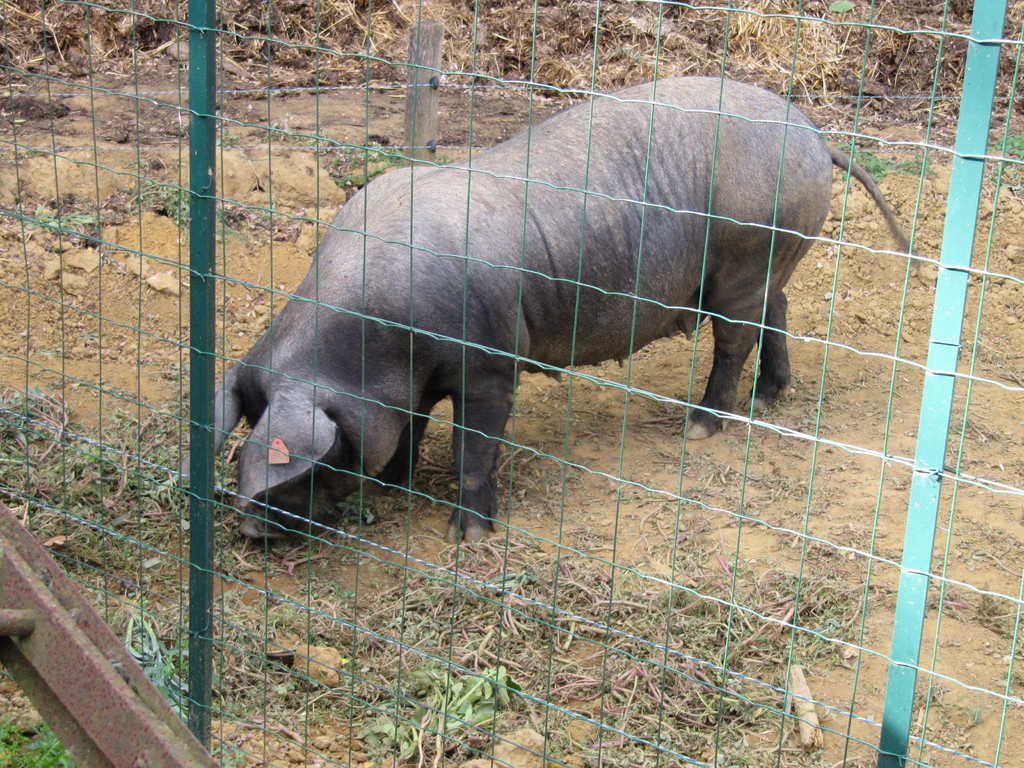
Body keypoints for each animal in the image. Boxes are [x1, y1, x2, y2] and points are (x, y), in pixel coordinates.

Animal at [188, 78, 909, 544]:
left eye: (316, 458)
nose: (251, 531)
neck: (381, 341)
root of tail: (811, 133)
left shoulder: (489, 365)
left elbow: (474, 446)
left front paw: (468, 537)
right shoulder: (414, 383)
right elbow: (412, 425)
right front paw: (393, 487)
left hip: (746, 251)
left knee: (734, 340)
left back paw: (702, 426)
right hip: (768, 258)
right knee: (777, 311)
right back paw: (770, 398)